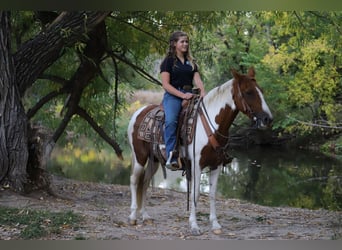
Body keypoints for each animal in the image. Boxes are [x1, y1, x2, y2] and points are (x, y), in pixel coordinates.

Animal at [127, 67, 274, 235]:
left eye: (261, 90)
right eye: (249, 92)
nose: (268, 119)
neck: (212, 127)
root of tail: (138, 112)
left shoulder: (216, 165)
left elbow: (212, 194)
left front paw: (215, 224)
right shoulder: (196, 166)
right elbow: (195, 193)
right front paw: (194, 225)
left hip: (155, 161)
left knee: (144, 183)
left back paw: (145, 216)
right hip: (139, 156)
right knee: (134, 180)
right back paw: (133, 217)